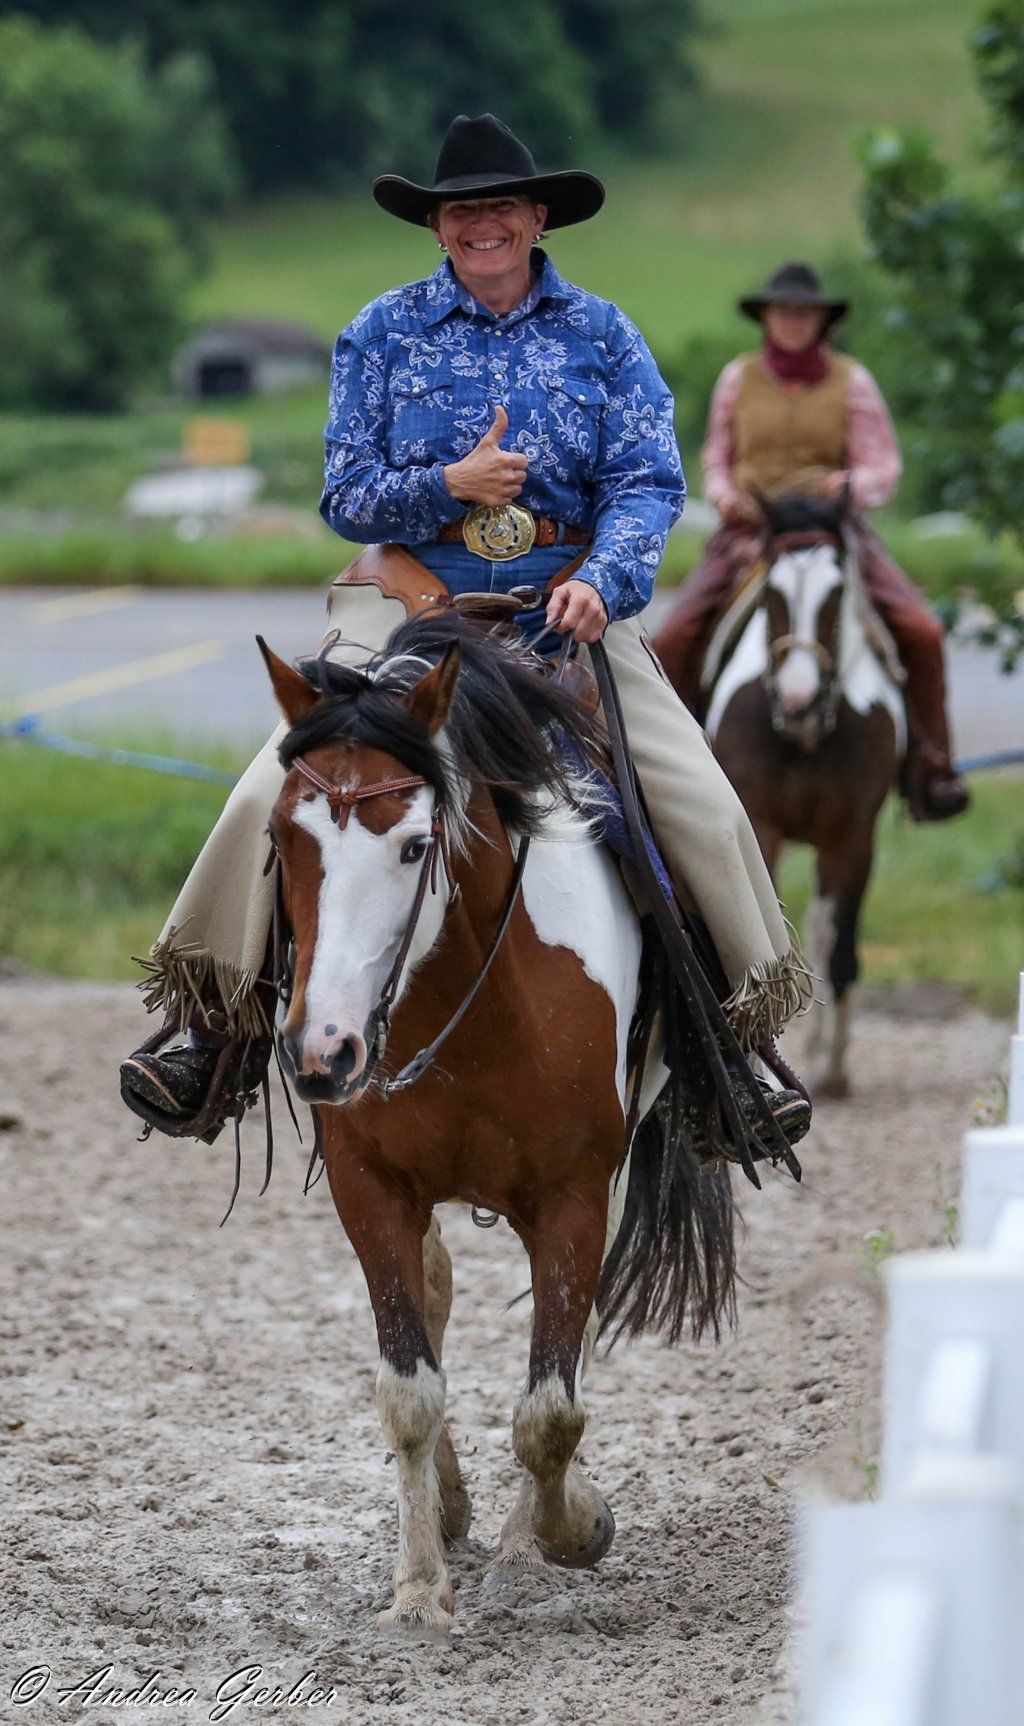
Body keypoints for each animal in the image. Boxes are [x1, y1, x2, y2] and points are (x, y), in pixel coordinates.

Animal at [257, 609, 736, 1640]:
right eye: (282, 834)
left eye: (412, 845)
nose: (324, 1052)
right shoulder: (371, 1189)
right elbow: (410, 1388)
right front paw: (417, 1589)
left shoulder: (572, 1195)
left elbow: (550, 1411)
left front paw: (569, 1530)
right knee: (441, 1298)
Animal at [703, 495, 905, 1097]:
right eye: (771, 594)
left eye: (836, 593)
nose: (798, 699)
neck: (805, 738)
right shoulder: (762, 830)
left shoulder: (852, 840)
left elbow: (839, 951)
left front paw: (834, 1067)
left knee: (825, 927)